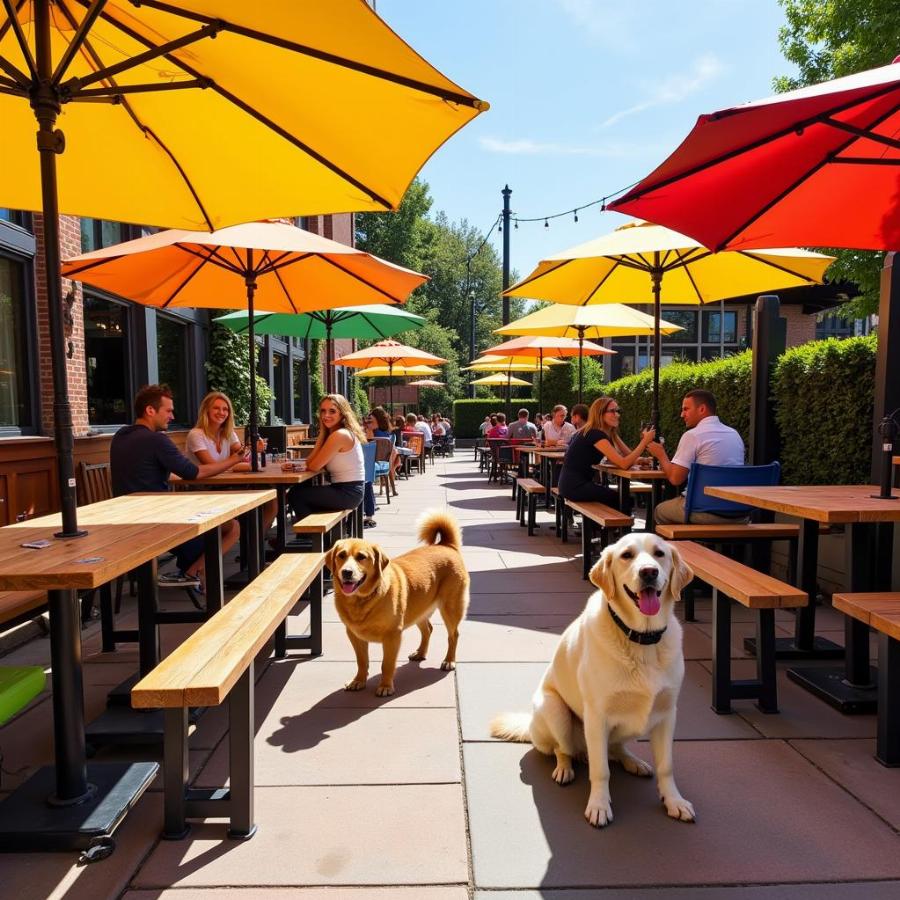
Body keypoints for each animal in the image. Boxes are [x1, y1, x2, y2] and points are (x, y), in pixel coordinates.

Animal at [324, 506, 468, 696]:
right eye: (341, 555)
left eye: (361, 557)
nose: (347, 572)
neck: (363, 600)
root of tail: (446, 545)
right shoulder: (354, 635)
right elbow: (361, 661)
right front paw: (359, 681)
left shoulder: (392, 636)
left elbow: (387, 664)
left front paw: (385, 686)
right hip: (417, 609)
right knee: (428, 630)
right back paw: (420, 653)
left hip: (450, 609)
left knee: (454, 635)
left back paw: (449, 660)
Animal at [492, 532, 696, 828]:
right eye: (626, 555)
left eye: (659, 553)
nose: (649, 572)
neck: (641, 639)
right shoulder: (597, 716)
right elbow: (601, 771)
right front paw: (599, 805)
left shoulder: (668, 714)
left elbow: (666, 767)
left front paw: (674, 801)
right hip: (555, 710)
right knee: (563, 750)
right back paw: (564, 769)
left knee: (615, 748)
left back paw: (633, 761)